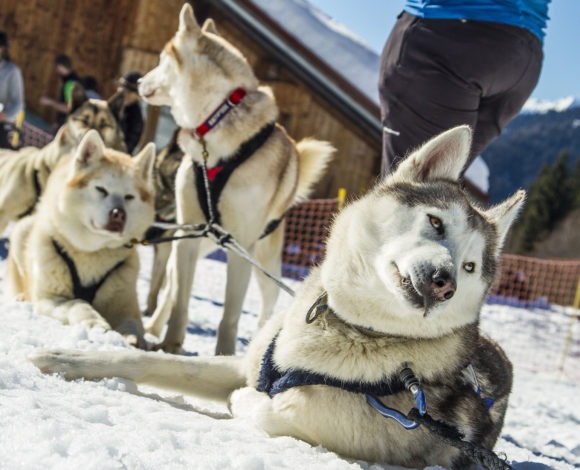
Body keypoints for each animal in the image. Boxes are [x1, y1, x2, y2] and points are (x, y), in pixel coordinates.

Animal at [6, 130, 155, 346]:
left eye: (129, 197)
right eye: (101, 189)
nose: (118, 214)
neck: (91, 252)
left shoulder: (125, 304)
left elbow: (134, 325)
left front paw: (133, 338)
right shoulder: (49, 299)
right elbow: (78, 303)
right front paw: (94, 322)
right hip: (22, 231)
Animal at [29, 126, 524, 468]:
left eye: (470, 267)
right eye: (436, 223)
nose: (445, 281)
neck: (343, 323)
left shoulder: (327, 428)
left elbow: (266, 411)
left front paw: (244, 402)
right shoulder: (245, 364)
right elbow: (150, 361)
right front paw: (66, 358)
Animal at [138, 5, 334, 354]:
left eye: (160, 58)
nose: (136, 80)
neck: (214, 125)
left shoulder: (240, 244)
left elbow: (230, 315)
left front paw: (223, 355)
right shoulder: (188, 238)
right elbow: (180, 301)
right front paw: (171, 344)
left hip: (265, 263)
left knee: (267, 305)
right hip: (194, 242)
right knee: (172, 288)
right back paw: (155, 327)